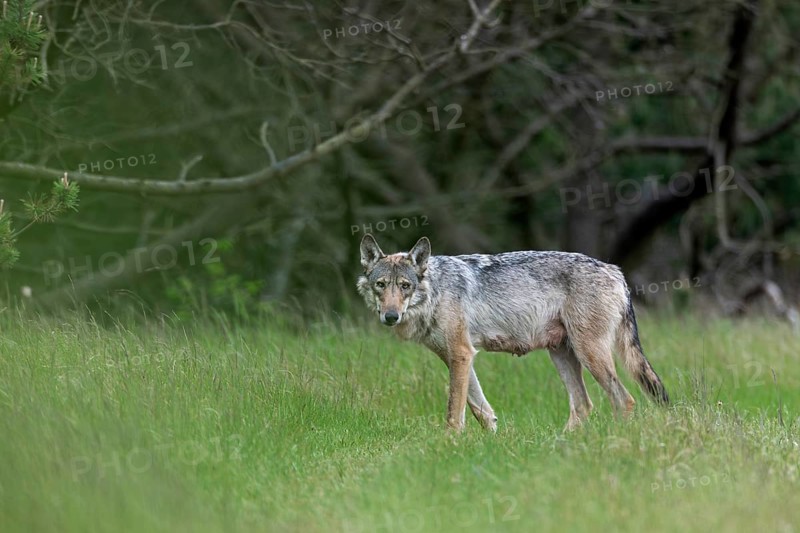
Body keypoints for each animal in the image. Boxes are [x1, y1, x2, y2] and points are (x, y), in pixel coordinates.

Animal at [356, 234, 669, 432]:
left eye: (405, 286)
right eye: (381, 285)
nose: (391, 316)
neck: (436, 290)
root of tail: (616, 271)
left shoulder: (461, 353)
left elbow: (454, 412)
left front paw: (449, 444)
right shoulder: (457, 357)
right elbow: (480, 410)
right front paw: (491, 442)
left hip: (589, 354)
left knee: (624, 400)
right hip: (562, 355)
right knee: (583, 405)